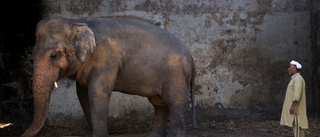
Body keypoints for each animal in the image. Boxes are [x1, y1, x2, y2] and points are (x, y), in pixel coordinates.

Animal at [21, 16, 196, 137]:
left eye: (54, 55)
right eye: (32, 54)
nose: (22, 134)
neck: (77, 22)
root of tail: (191, 57)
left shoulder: (106, 58)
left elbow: (98, 92)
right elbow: (82, 93)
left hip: (176, 74)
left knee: (174, 103)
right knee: (159, 104)